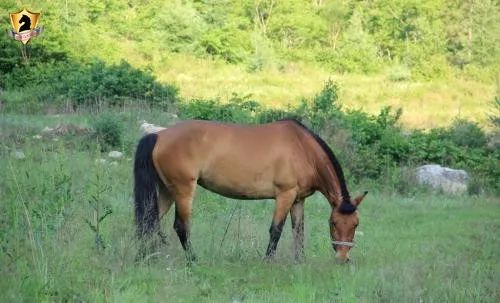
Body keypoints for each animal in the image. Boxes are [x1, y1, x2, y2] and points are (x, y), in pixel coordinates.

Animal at [133, 119, 368, 264]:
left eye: (356, 224)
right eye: (333, 223)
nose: (343, 257)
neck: (303, 149)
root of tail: (160, 136)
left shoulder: (298, 200)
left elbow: (298, 231)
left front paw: (300, 262)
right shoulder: (285, 195)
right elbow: (276, 230)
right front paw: (268, 261)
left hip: (166, 191)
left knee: (149, 221)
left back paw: (145, 257)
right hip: (183, 191)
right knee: (180, 226)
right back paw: (192, 261)